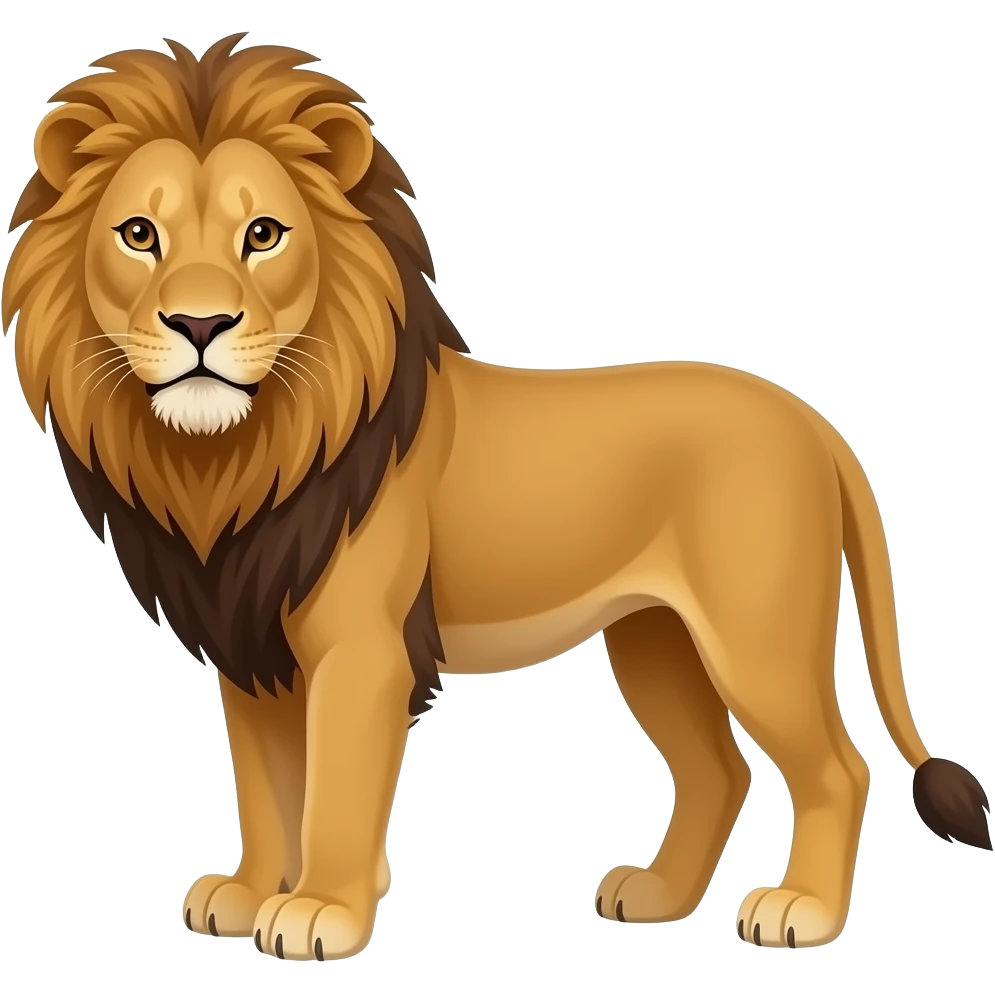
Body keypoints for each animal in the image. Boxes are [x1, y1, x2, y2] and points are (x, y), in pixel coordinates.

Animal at [2, 33, 990, 962]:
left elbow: (334, 795)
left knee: (837, 767)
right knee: (718, 771)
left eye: (265, 235)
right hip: (656, 639)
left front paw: (320, 912)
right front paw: (246, 895)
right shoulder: (250, 650)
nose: (200, 324)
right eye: (139, 234)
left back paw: (802, 911)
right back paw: (655, 896)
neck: (234, 458)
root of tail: (816, 425)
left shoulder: (361, 652)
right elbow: (266, 786)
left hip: (755, 637)